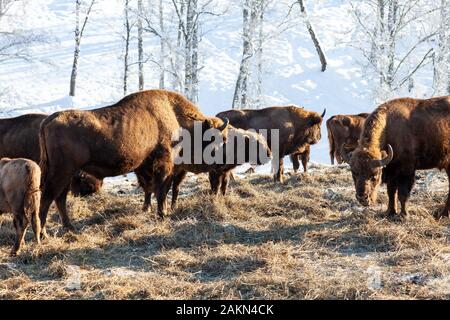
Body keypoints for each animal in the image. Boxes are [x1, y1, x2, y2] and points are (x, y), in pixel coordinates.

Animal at [38, 90, 229, 232]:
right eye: (216, 140)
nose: (222, 164)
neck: (175, 115)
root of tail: (48, 120)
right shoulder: (164, 163)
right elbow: (161, 190)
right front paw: (162, 214)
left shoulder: (146, 166)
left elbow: (150, 189)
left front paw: (150, 210)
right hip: (61, 172)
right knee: (48, 197)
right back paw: (43, 234)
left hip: (67, 174)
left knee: (59, 198)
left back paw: (70, 228)